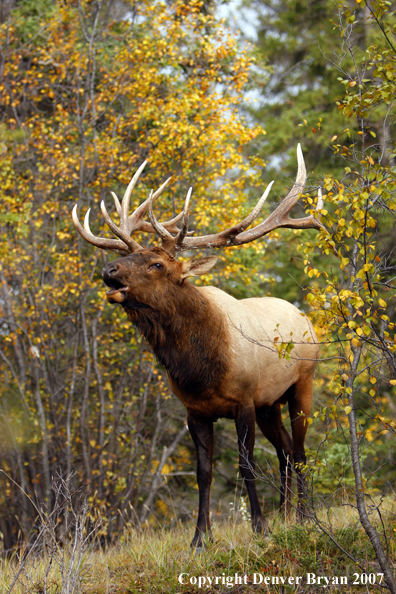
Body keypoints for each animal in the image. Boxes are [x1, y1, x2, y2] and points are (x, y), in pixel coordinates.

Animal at [72, 146, 324, 548]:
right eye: (131, 257)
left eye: (156, 264)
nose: (109, 270)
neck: (199, 371)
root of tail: (305, 318)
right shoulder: (196, 411)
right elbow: (202, 472)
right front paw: (199, 538)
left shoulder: (243, 400)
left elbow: (246, 464)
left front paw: (259, 527)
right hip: (270, 403)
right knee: (284, 449)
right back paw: (286, 514)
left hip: (302, 383)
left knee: (298, 451)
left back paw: (303, 515)